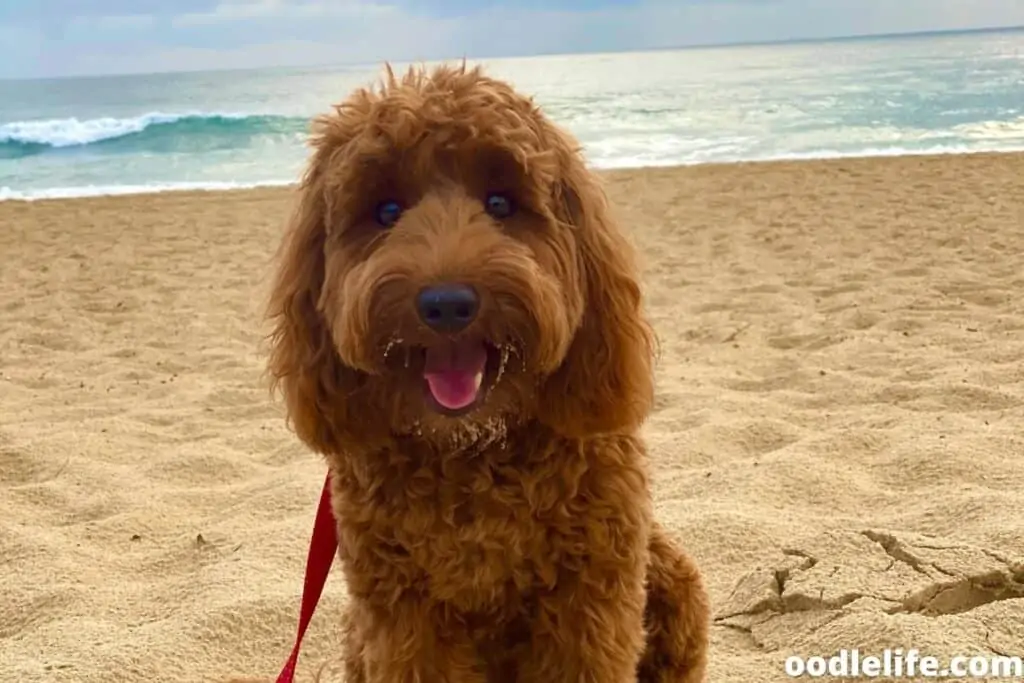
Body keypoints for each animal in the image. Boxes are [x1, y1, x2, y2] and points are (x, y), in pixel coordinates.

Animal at [268, 63, 708, 683]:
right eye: (386, 212)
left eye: (501, 203)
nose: (447, 304)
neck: (471, 451)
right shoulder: (403, 616)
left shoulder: (590, 597)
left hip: (672, 577)